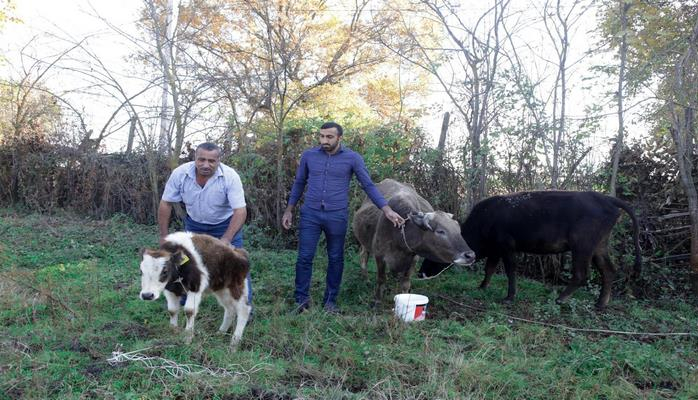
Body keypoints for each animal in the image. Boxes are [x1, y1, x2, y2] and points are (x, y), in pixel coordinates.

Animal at [416, 191, 640, 310]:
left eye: (432, 252)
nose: (421, 273)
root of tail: (608, 199)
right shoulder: (496, 249)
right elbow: (489, 268)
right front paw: (482, 286)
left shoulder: (506, 246)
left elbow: (510, 270)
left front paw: (509, 297)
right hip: (600, 245)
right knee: (609, 270)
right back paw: (601, 303)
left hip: (582, 244)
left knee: (581, 274)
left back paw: (561, 298)